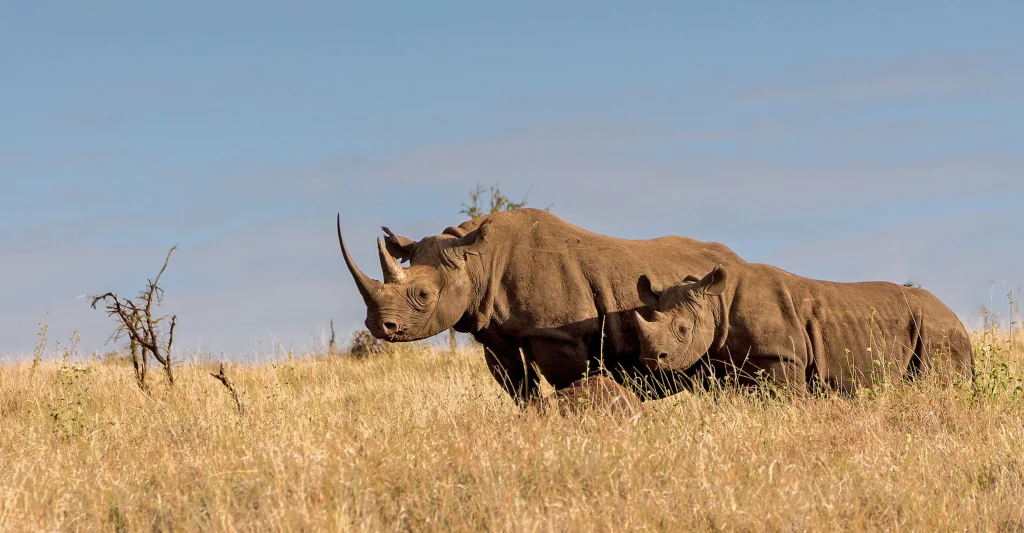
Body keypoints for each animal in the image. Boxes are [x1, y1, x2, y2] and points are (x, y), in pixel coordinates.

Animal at [337, 208, 746, 405]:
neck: (476, 260)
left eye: (423, 295)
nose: (379, 327)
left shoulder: (557, 334)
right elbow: (519, 388)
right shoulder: (495, 333)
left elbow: (571, 383)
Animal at [633, 264, 974, 393]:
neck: (716, 304)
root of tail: (957, 318)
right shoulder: (727, 361)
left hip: (938, 330)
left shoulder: (782, 355)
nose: (651, 360)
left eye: (682, 330)